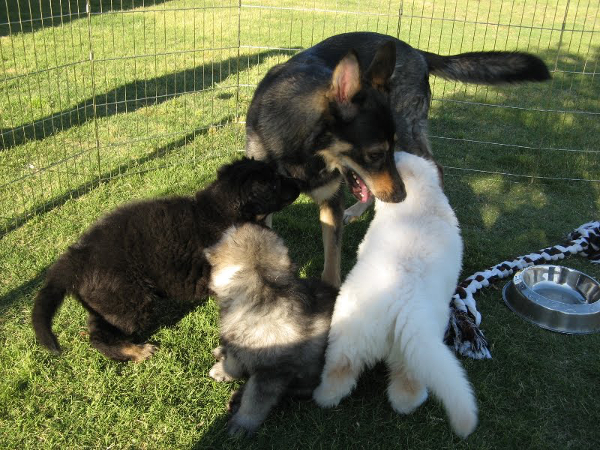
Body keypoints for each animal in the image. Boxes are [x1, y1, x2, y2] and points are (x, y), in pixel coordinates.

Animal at [205, 224, 338, 436]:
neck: (262, 284)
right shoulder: (238, 344)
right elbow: (234, 362)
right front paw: (224, 370)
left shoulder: (271, 372)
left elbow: (254, 401)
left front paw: (243, 423)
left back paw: (237, 397)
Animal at [244, 31, 548, 286]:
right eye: (376, 153)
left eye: (386, 152)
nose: (402, 197)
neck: (302, 149)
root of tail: (416, 51)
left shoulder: (332, 201)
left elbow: (331, 263)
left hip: (407, 131)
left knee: (435, 167)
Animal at [314, 151, 478, 436]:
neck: (421, 202)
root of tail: (402, 309)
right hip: (408, 354)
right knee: (401, 390)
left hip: (352, 338)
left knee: (340, 373)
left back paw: (320, 397)